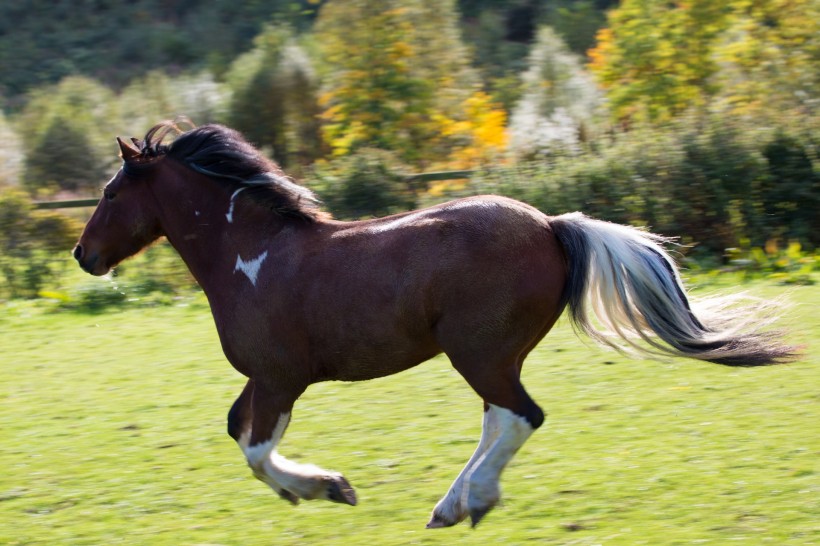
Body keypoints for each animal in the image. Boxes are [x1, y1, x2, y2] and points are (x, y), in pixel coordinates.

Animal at [72, 121, 796, 524]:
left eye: (110, 193)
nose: (83, 255)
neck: (251, 256)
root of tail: (553, 225)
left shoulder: (281, 378)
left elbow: (254, 446)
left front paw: (329, 489)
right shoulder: (264, 377)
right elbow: (237, 433)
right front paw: (307, 491)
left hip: (478, 351)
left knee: (519, 415)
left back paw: (465, 504)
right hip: (490, 354)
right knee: (502, 419)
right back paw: (456, 504)